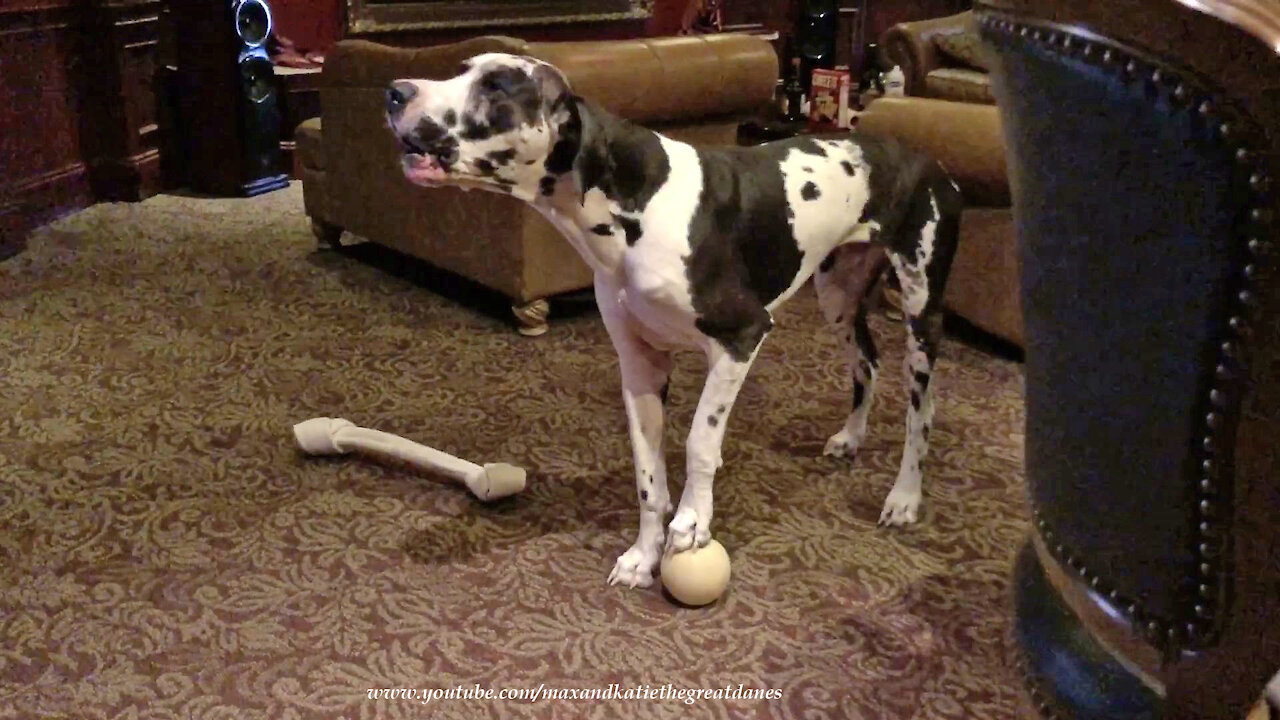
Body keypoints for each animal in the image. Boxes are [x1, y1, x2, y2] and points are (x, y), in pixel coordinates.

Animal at [381, 53, 962, 586]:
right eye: (463, 70)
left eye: (496, 86)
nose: (394, 91)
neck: (638, 205)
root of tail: (933, 164)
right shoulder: (640, 367)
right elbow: (648, 477)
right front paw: (645, 554)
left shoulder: (741, 339)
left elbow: (700, 440)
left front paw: (693, 518)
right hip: (838, 297)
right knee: (867, 363)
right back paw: (852, 437)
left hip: (920, 315)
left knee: (922, 410)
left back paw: (905, 495)